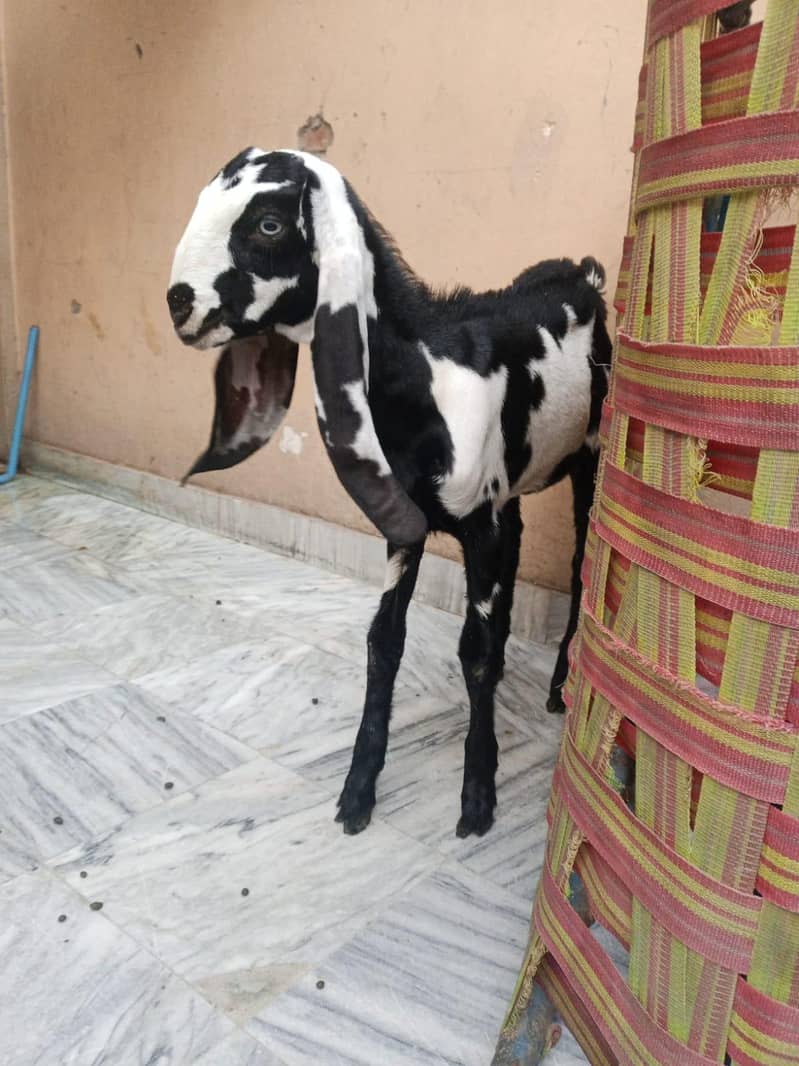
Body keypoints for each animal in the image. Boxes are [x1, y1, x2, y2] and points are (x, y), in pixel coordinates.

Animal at [167, 148, 612, 838]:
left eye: (269, 224)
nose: (178, 302)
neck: (428, 377)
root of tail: (583, 275)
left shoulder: (478, 524)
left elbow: (472, 650)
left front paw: (477, 797)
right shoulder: (409, 525)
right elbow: (384, 642)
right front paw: (357, 793)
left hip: (590, 453)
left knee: (578, 567)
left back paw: (560, 685)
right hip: (508, 496)